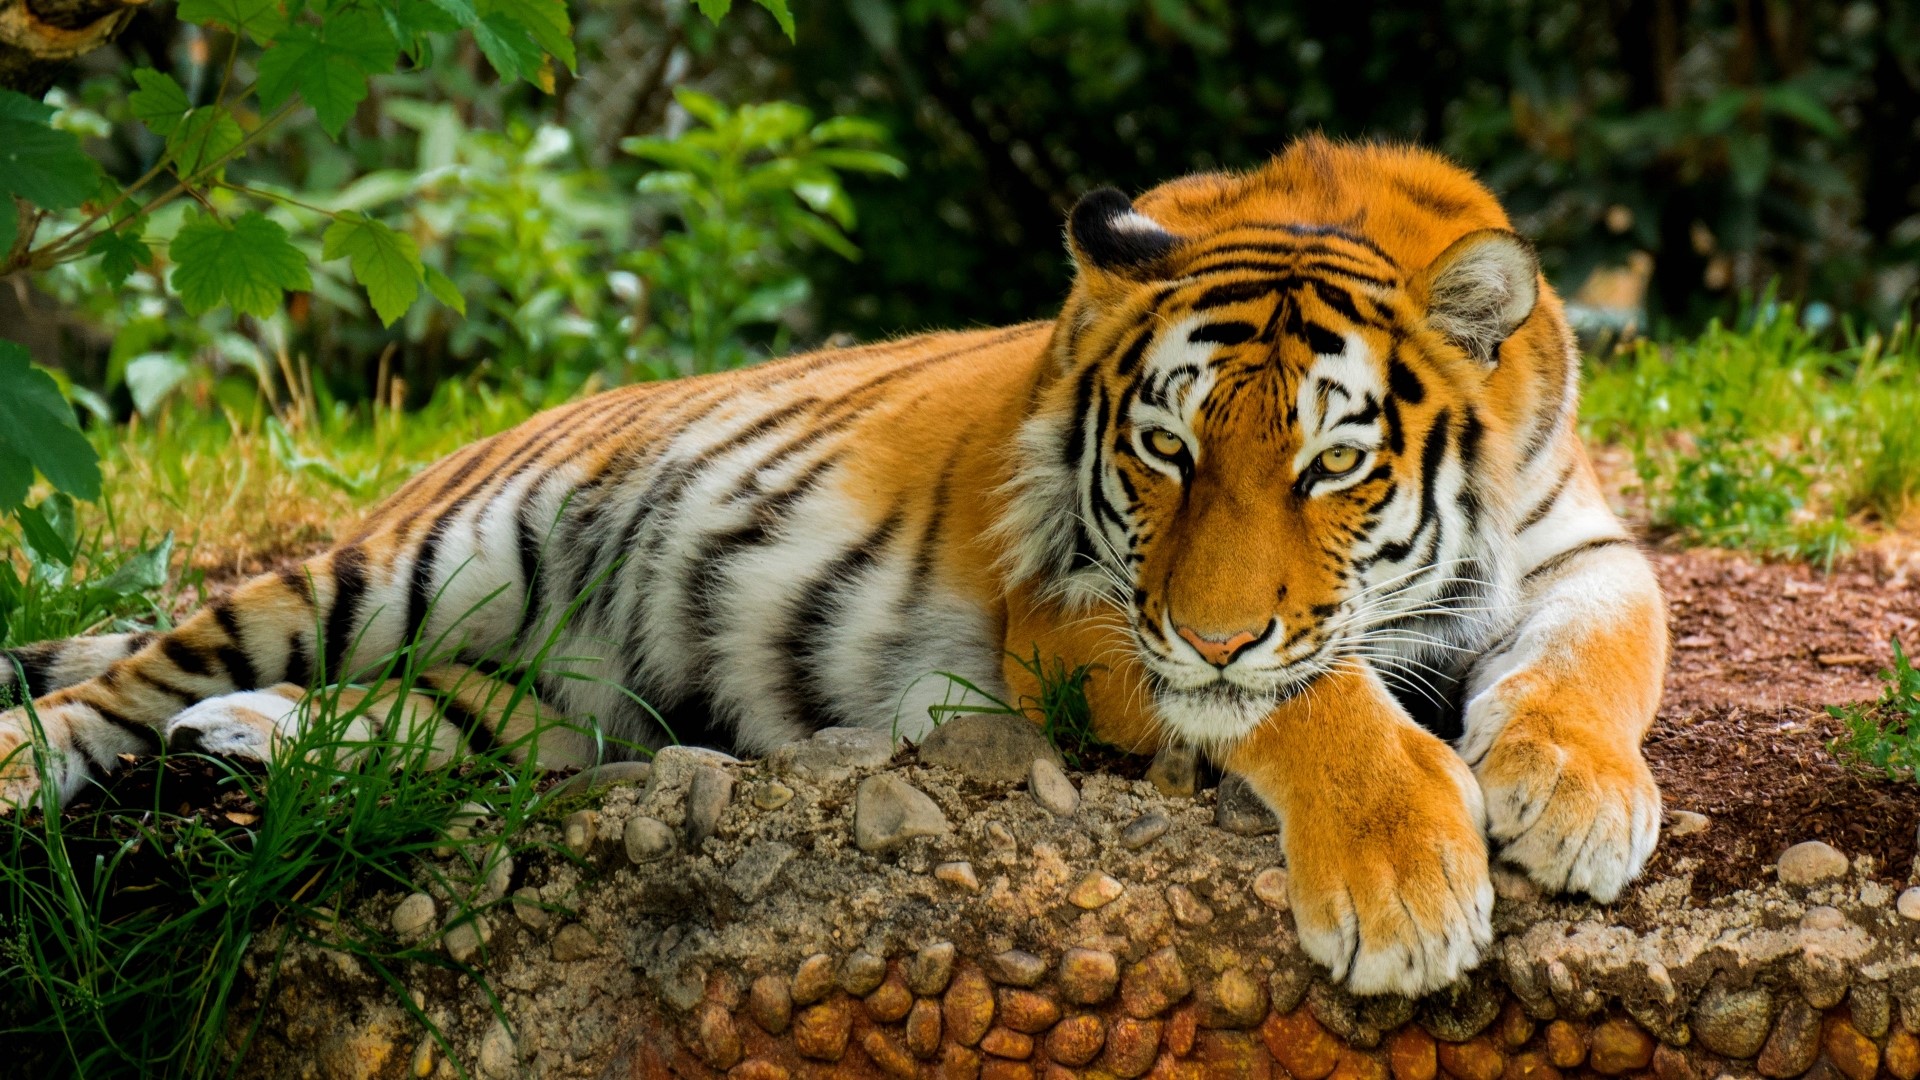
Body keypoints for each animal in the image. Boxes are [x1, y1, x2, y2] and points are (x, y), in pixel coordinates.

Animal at [0, 135, 1666, 996]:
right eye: (1165, 451)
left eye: (1333, 466)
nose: (1210, 632)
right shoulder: (1079, 609)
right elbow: (1311, 698)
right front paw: (1405, 883)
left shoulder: (1585, 544)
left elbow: (1596, 662)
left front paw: (1576, 797)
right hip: (394, 567)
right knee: (113, 686)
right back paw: (48, 768)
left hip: (551, 698)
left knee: (428, 718)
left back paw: (251, 742)